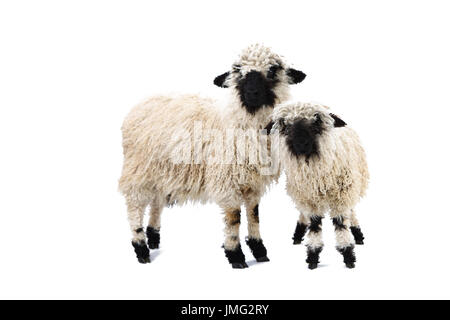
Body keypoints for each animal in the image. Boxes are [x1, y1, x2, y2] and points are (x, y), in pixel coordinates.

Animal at [118, 43, 308, 268]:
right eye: (238, 71)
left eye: (272, 70)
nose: (252, 92)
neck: (240, 122)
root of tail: (141, 103)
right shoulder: (227, 182)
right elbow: (234, 218)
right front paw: (236, 255)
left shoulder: (252, 183)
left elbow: (254, 214)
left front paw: (259, 250)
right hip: (138, 170)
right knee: (135, 205)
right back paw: (141, 248)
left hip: (162, 172)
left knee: (156, 202)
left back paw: (153, 237)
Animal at [268, 102, 368, 268]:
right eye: (285, 124)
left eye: (317, 121)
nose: (301, 143)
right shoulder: (309, 197)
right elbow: (314, 225)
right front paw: (313, 254)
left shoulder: (341, 195)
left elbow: (341, 223)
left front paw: (347, 254)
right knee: (303, 213)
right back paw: (298, 234)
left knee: (351, 211)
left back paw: (357, 234)